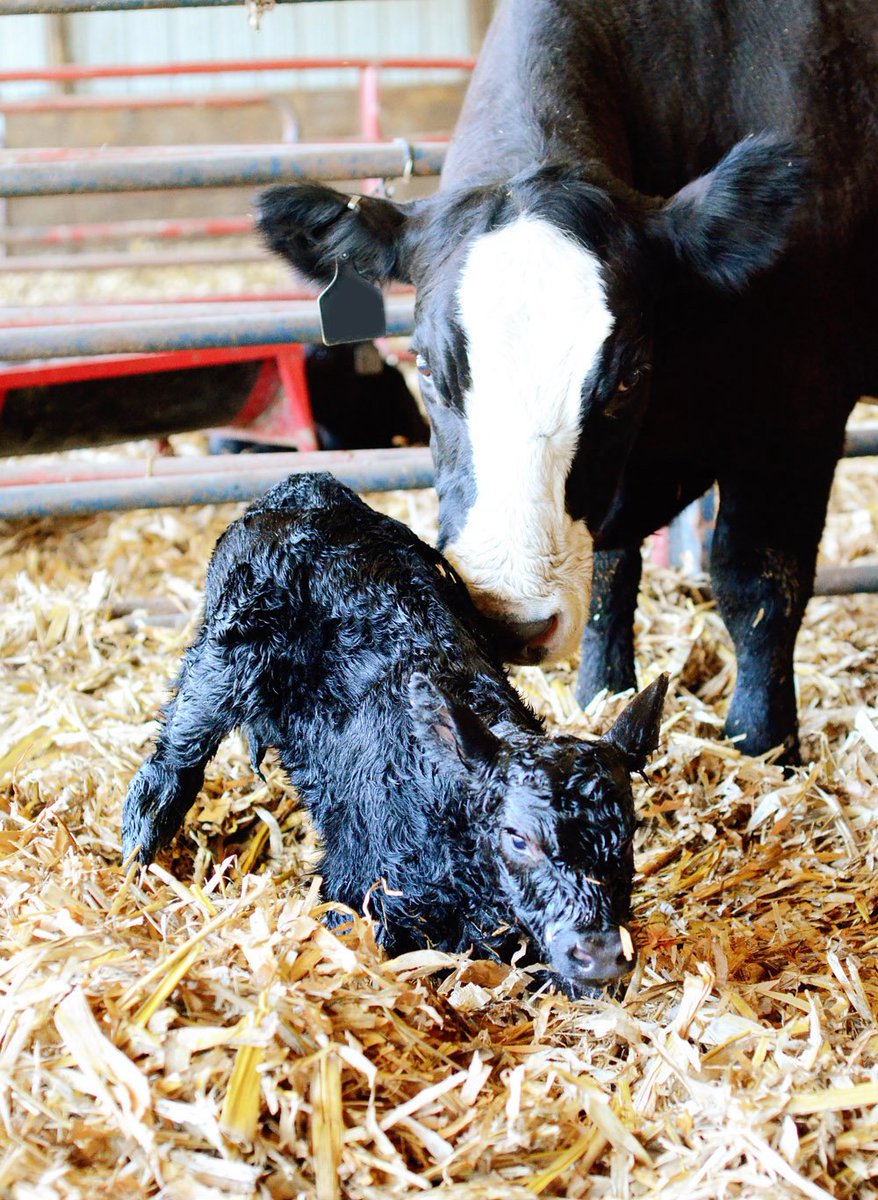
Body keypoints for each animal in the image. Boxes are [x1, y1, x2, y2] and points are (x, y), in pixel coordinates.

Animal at [257, 0, 878, 764]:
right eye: (426, 365)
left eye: (628, 376)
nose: (511, 619)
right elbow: (612, 574)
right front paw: (600, 695)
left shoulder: (797, 414)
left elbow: (758, 584)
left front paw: (763, 745)